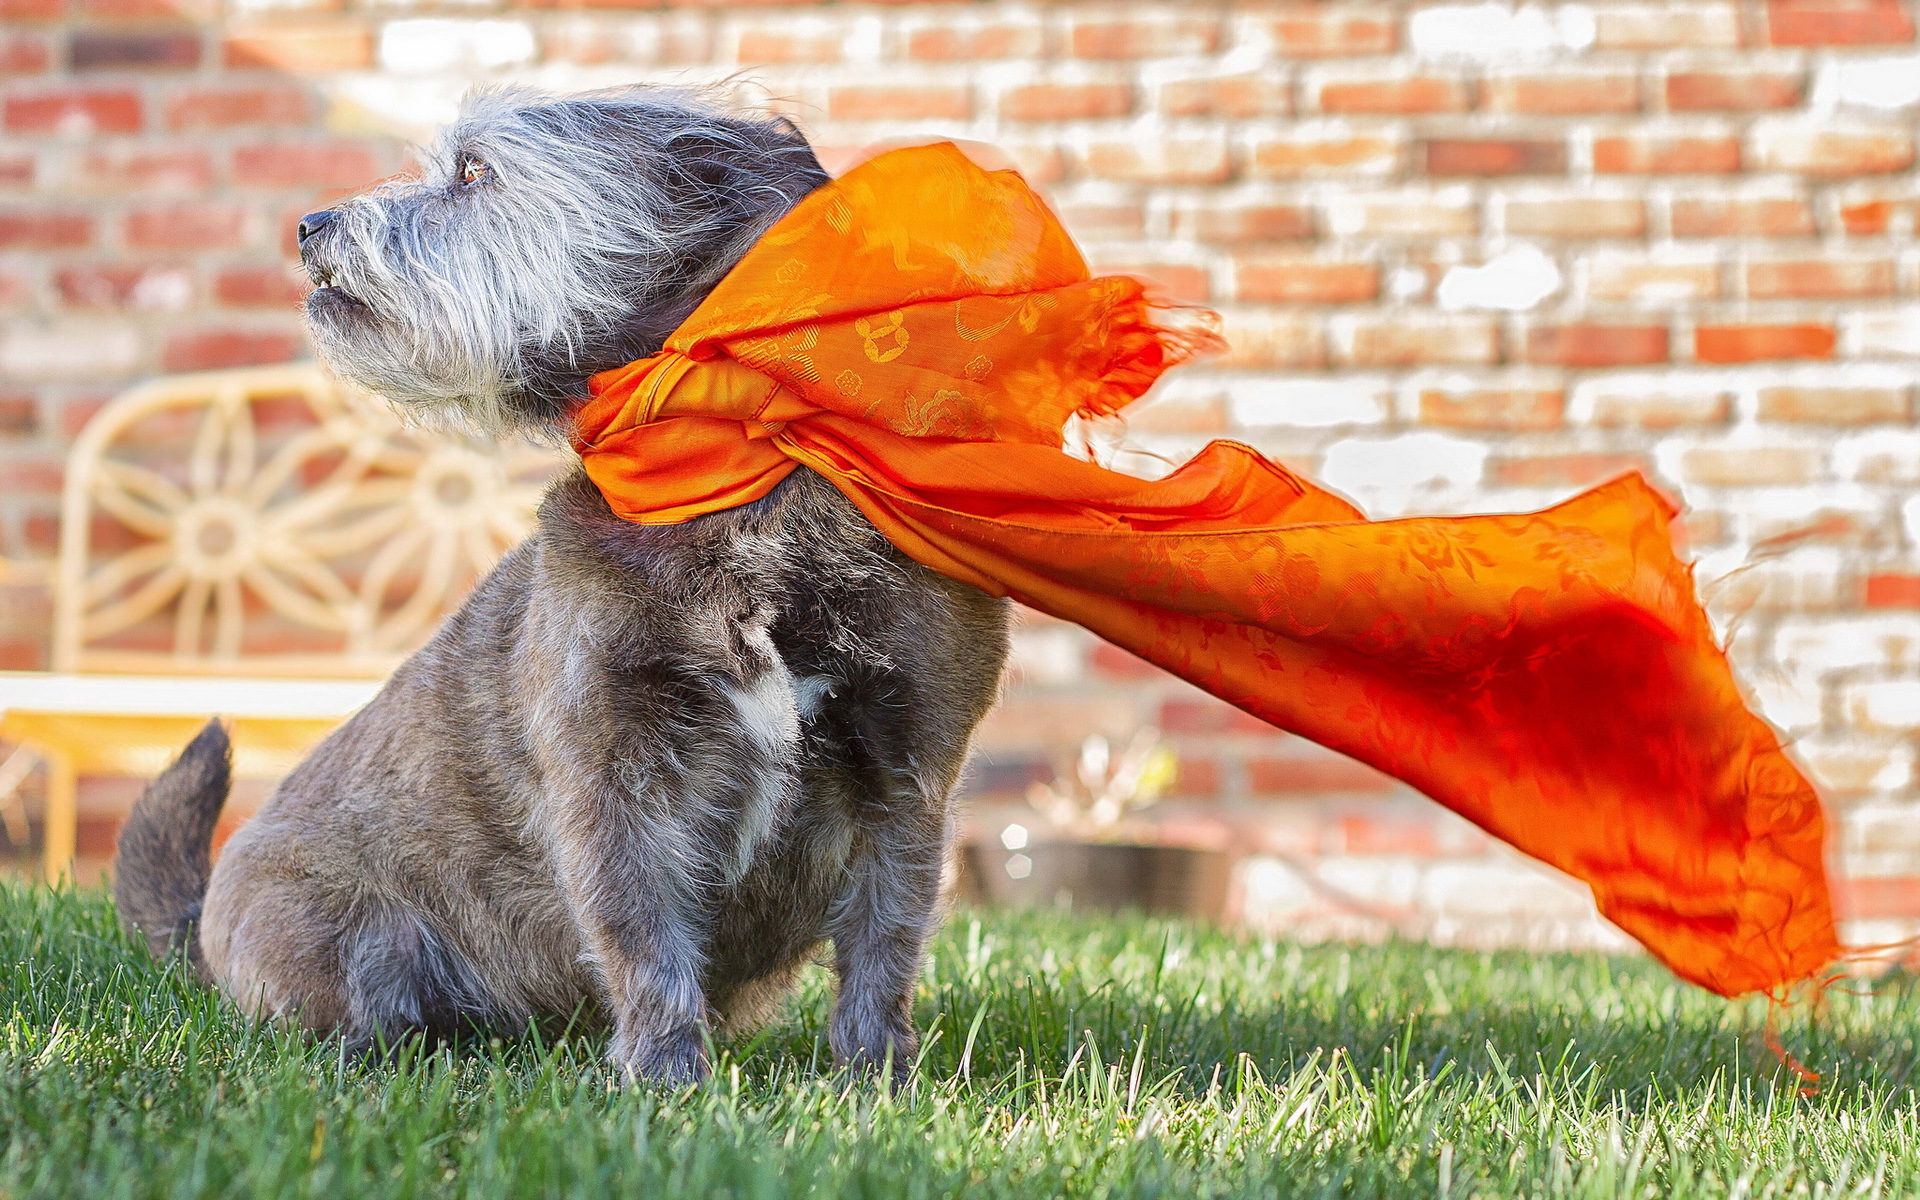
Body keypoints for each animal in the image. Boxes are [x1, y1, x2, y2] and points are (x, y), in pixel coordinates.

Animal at [116, 79, 1021, 1082]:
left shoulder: (906, 770)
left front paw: (876, 1078)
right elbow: (642, 935)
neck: (734, 483)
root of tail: (204, 920)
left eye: (475, 170)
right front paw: (665, 1076)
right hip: (344, 943)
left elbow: (885, 938)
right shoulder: (611, 773)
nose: (309, 224)